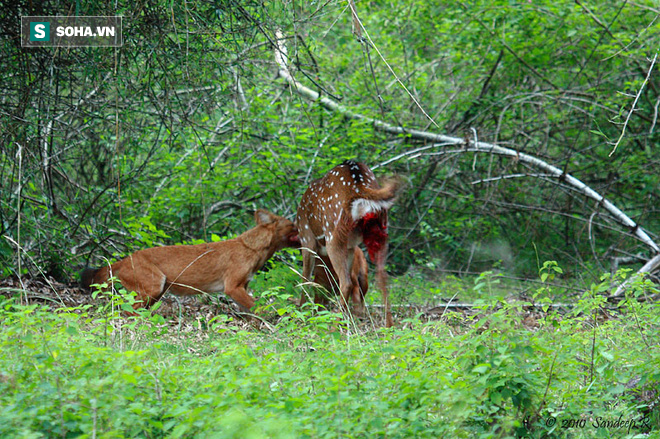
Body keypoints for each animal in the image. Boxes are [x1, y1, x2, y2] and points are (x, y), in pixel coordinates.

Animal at [296, 161, 400, 326]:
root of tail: (359, 187)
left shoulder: (306, 237)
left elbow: (305, 277)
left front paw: (301, 312)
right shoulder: (350, 246)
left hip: (332, 233)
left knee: (346, 283)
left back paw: (334, 324)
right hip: (380, 230)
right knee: (382, 276)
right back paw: (389, 326)